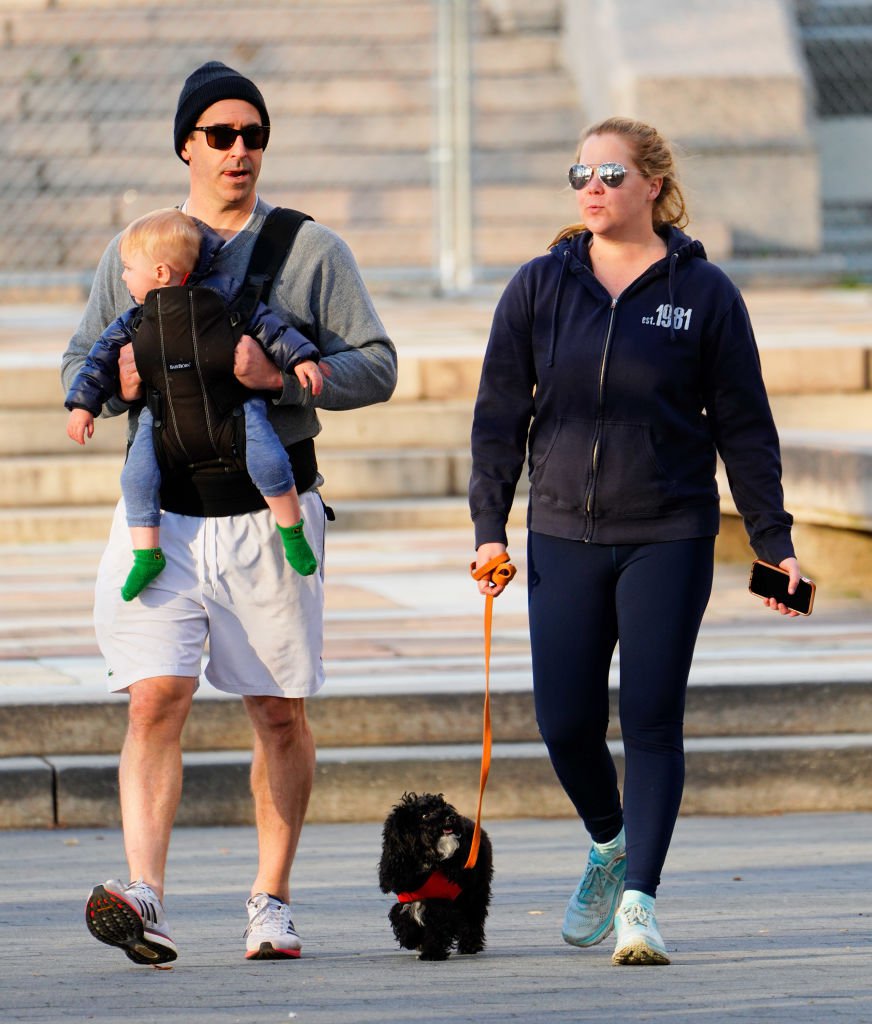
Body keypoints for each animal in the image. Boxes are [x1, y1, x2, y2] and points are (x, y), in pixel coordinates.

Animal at [378, 790, 493, 958]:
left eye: (443, 805)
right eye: (425, 815)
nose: (451, 817)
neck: (426, 860)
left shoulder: (442, 900)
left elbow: (438, 925)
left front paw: (431, 952)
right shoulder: (408, 897)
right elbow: (402, 918)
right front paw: (412, 939)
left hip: (475, 891)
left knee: (473, 918)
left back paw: (470, 945)